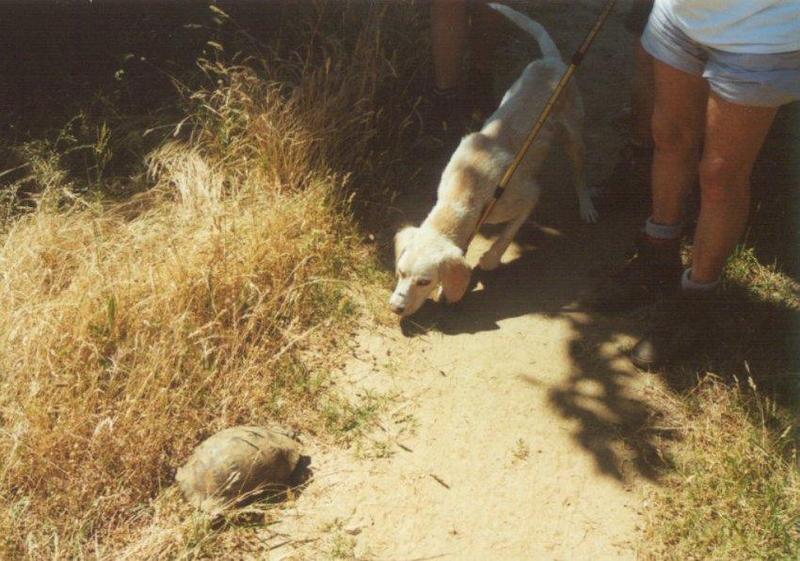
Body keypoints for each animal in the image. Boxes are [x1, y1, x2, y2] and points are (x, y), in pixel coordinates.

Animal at [390, 4, 596, 318]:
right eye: (400, 273)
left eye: (424, 281)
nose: (395, 308)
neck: (465, 189)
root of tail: (551, 61)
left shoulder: (528, 196)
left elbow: (506, 235)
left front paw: (490, 259)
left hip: (574, 134)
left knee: (580, 173)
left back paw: (586, 205)